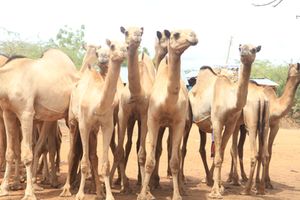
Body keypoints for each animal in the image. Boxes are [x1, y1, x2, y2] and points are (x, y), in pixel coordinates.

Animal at [0, 48, 79, 200]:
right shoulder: (7, 113)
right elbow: (10, 152)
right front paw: (4, 189)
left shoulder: (26, 113)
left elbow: (26, 154)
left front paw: (29, 193)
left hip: (72, 116)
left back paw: (67, 187)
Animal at [65, 39, 127, 200]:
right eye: (112, 46)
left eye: (126, 46)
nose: (122, 53)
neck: (97, 104)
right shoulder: (84, 125)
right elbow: (84, 162)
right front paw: (80, 194)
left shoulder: (106, 125)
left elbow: (104, 164)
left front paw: (109, 195)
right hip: (73, 121)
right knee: (72, 153)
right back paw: (66, 189)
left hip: (94, 130)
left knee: (93, 156)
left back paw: (98, 191)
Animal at [109, 26, 155, 192]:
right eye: (126, 32)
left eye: (140, 32)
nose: (135, 38)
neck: (136, 92)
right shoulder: (123, 114)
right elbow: (119, 150)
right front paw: (114, 182)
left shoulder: (145, 115)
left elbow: (142, 153)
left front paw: (146, 190)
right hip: (131, 120)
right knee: (128, 144)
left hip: (141, 121)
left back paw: (144, 181)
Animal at [138, 28, 199, 200]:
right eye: (176, 34)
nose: (193, 36)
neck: (167, 100)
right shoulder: (153, 121)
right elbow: (150, 159)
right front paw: (144, 193)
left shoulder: (178, 123)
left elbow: (175, 161)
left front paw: (177, 195)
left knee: (177, 151)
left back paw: (182, 187)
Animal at [230, 63, 300, 191]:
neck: (276, 106)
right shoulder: (263, 127)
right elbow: (261, 151)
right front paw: (259, 183)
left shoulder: (275, 126)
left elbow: (268, 152)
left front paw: (267, 182)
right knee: (233, 148)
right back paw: (233, 179)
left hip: (242, 126)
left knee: (238, 147)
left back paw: (242, 177)